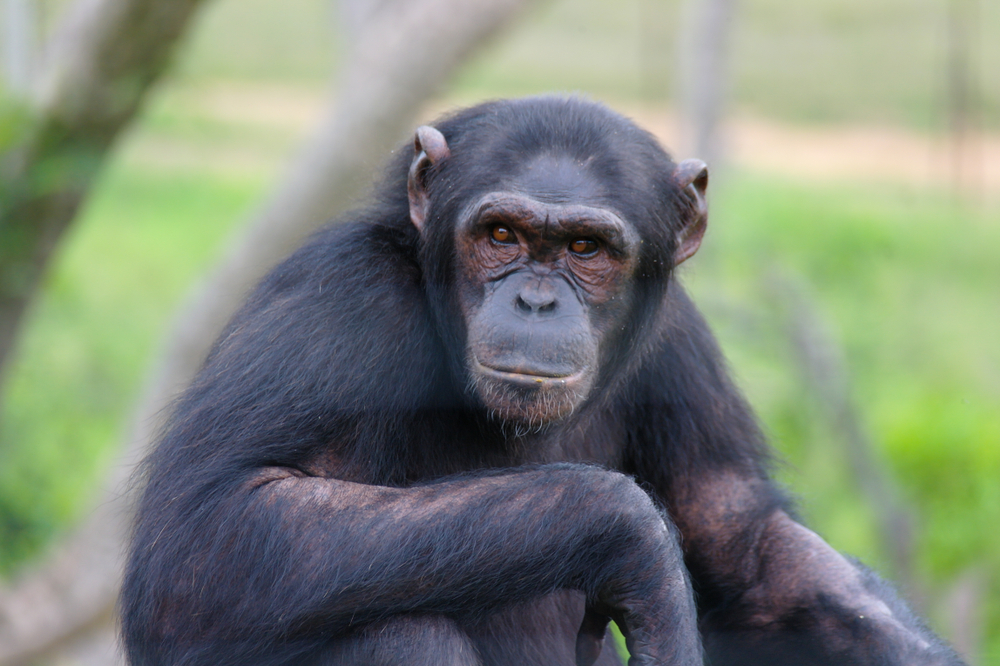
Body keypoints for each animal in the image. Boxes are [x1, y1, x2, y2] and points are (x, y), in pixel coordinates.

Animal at [119, 94, 968, 664]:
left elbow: (746, 544)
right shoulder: (336, 304)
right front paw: (643, 553)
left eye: (586, 248)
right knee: (400, 629)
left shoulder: (679, 340)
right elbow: (204, 533)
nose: (535, 298)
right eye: (502, 235)